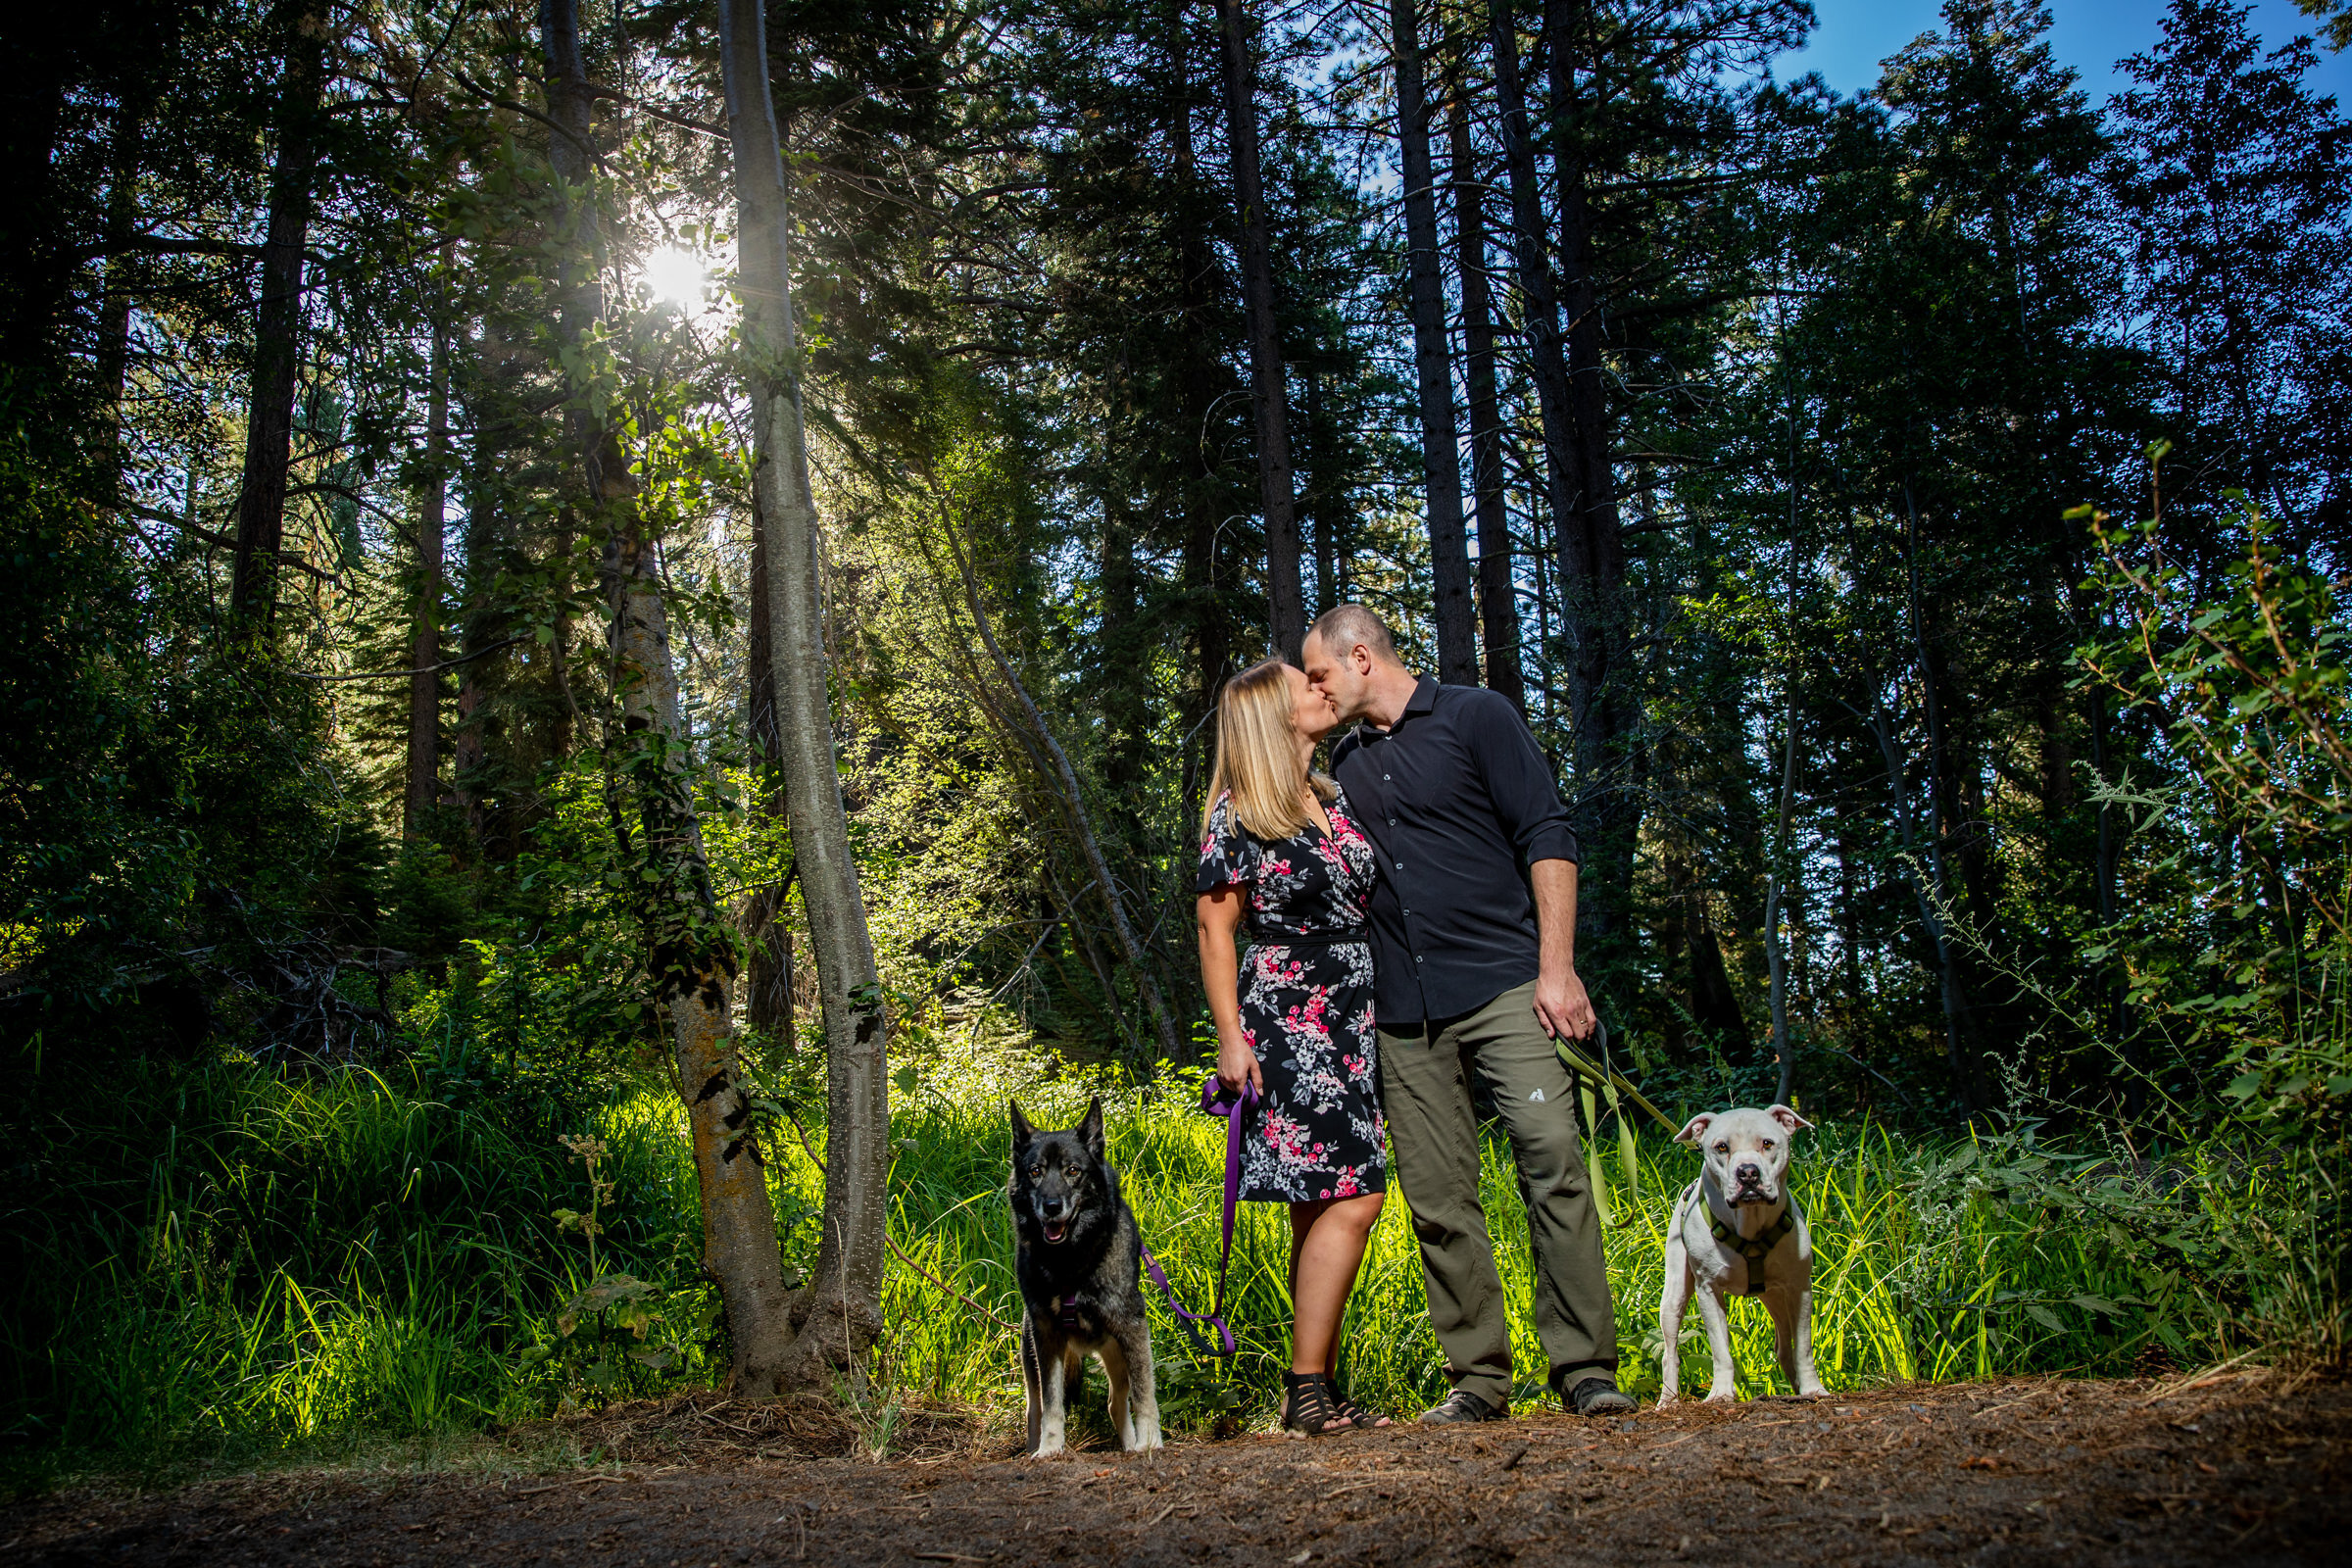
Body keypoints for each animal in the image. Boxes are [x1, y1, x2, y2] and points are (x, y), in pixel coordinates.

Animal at [1646, 1109, 1825, 1400]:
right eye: (1722, 1147)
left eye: (1767, 1143)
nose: (1748, 1172)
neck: (1750, 1222)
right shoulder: (1708, 1290)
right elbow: (1720, 1350)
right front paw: (1720, 1392)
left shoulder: (1799, 1288)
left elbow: (1804, 1347)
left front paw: (1813, 1389)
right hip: (1673, 1297)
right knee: (1669, 1352)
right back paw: (1668, 1400)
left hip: (1776, 1297)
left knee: (1785, 1347)